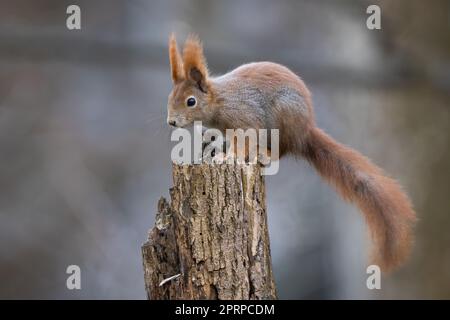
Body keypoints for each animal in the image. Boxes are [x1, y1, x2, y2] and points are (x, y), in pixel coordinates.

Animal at [167, 33, 416, 272]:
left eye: (191, 101)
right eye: (170, 98)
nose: (171, 122)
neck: (219, 100)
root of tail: (305, 131)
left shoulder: (245, 117)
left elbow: (244, 141)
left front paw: (227, 156)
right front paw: (215, 144)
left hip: (283, 120)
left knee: (283, 150)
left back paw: (266, 155)